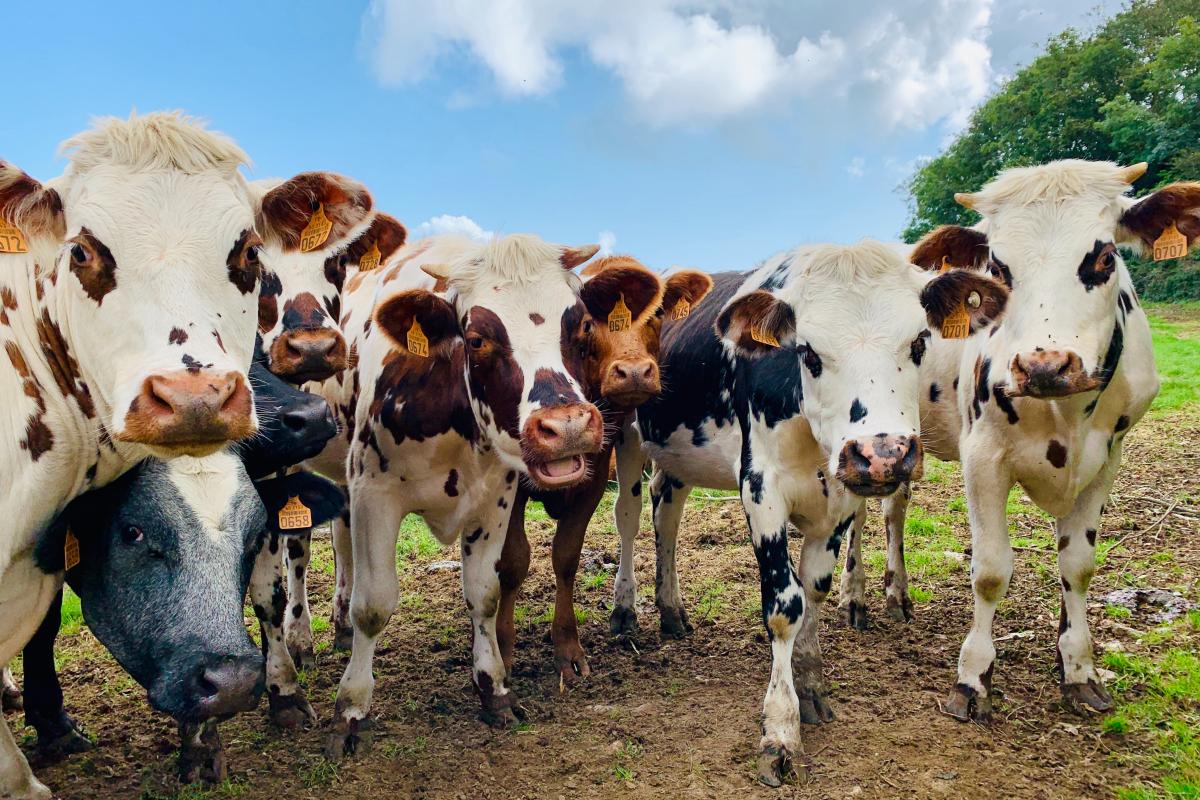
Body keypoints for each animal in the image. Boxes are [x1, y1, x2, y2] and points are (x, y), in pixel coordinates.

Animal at [314, 233, 668, 758]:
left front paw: (494, 689)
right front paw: (350, 712)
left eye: (583, 324)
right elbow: (373, 605)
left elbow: (485, 592)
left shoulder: (496, 498)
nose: (567, 427)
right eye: (477, 339)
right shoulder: (373, 494)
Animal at [495, 258, 712, 685]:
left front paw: (568, 649)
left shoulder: (596, 474)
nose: (634, 372)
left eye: (657, 314)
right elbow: (513, 560)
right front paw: (503, 652)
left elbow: (567, 556)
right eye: (587, 323)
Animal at [609, 241, 1008, 784]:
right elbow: (785, 605)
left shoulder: (840, 501)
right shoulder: (760, 489)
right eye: (808, 352)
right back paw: (625, 609)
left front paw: (811, 683)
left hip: (677, 456)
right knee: (628, 516)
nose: (882, 453)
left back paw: (671, 610)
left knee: (665, 512)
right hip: (626, 433)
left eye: (919, 343)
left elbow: (814, 589)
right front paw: (780, 729)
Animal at [844, 160, 1192, 725]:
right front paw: (972, 678)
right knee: (854, 512)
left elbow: (1079, 566)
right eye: (997, 268)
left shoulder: (1107, 460)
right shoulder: (983, 456)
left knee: (894, 509)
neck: (1065, 412)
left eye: (1105, 256)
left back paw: (896, 593)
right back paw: (853, 597)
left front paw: (1078, 669)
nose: (1043, 365)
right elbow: (989, 571)